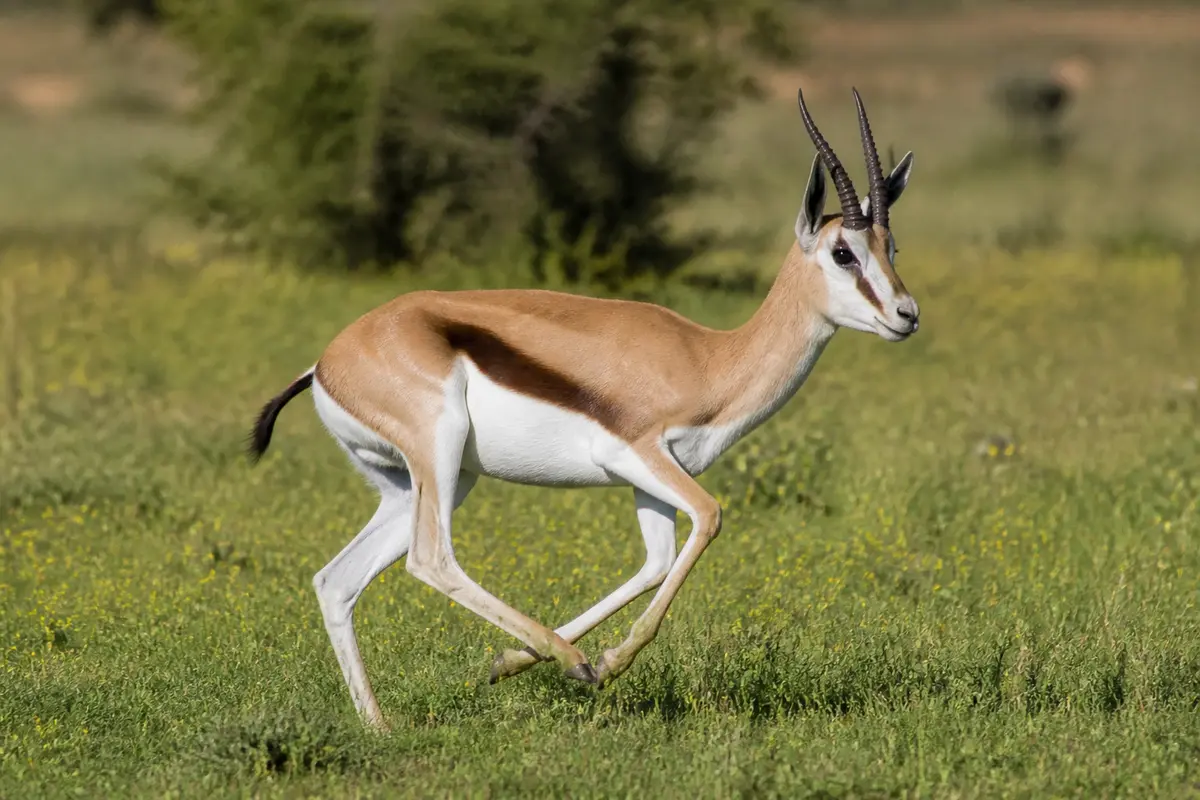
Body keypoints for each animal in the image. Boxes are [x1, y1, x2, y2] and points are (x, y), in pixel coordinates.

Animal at [249, 88, 920, 729]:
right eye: (842, 253)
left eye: (891, 247)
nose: (906, 315)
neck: (707, 359)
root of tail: (327, 362)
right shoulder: (639, 453)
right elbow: (710, 518)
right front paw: (600, 663)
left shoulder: (651, 478)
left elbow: (655, 562)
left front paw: (512, 663)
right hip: (439, 451)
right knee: (430, 557)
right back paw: (564, 659)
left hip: (421, 482)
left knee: (337, 581)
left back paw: (381, 724)